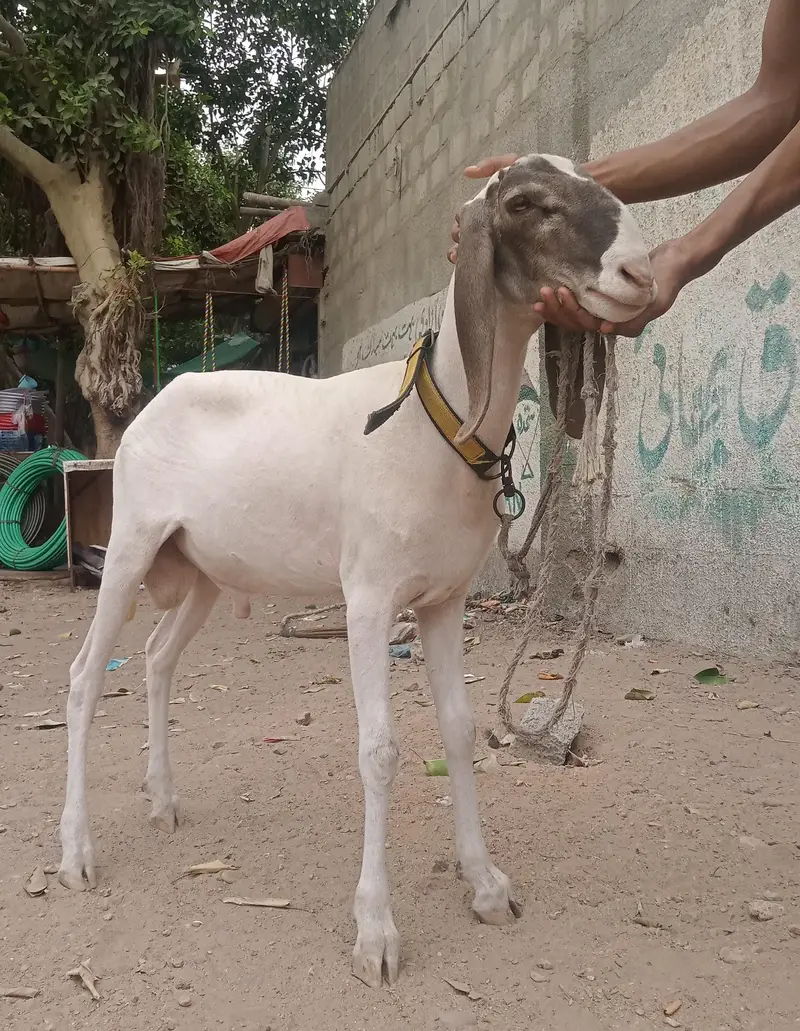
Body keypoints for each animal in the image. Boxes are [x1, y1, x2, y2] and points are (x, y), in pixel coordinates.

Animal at [57, 154, 656, 988]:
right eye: (527, 202)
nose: (641, 271)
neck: (435, 424)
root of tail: (153, 403)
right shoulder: (370, 597)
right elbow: (380, 750)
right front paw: (376, 929)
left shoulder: (443, 601)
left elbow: (460, 729)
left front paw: (485, 883)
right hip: (132, 543)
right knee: (86, 675)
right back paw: (77, 851)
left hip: (204, 570)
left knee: (154, 659)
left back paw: (162, 798)